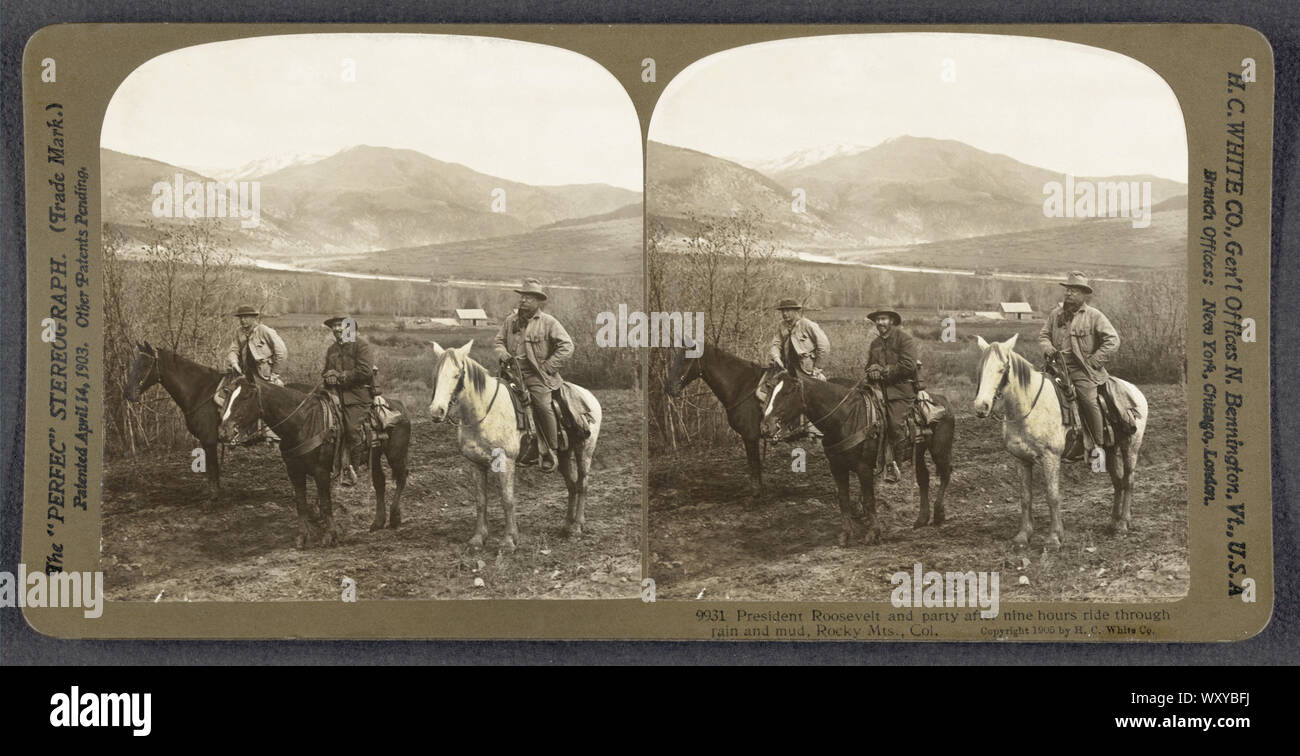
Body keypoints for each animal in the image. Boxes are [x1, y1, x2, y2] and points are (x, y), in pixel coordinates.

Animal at [431, 342, 603, 550]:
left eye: (457, 374)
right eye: (436, 374)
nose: (436, 411)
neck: (484, 413)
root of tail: (589, 396)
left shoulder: (506, 461)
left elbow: (507, 499)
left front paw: (509, 540)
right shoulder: (475, 463)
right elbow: (481, 500)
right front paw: (478, 538)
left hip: (584, 450)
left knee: (583, 485)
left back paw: (577, 526)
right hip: (563, 454)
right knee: (572, 485)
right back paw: (567, 526)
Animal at [977, 335, 1149, 548]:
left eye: (1002, 369)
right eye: (981, 369)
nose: (981, 407)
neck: (1029, 407)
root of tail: (1135, 391)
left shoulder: (1050, 457)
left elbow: (1052, 496)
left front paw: (1054, 537)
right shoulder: (1021, 459)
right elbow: (1025, 497)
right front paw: (1023, 535)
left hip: (1130, 447)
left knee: (1129, 481)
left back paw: (1123, 523)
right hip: (1110, 449)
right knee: (1118, 483)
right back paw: (1113, 523)